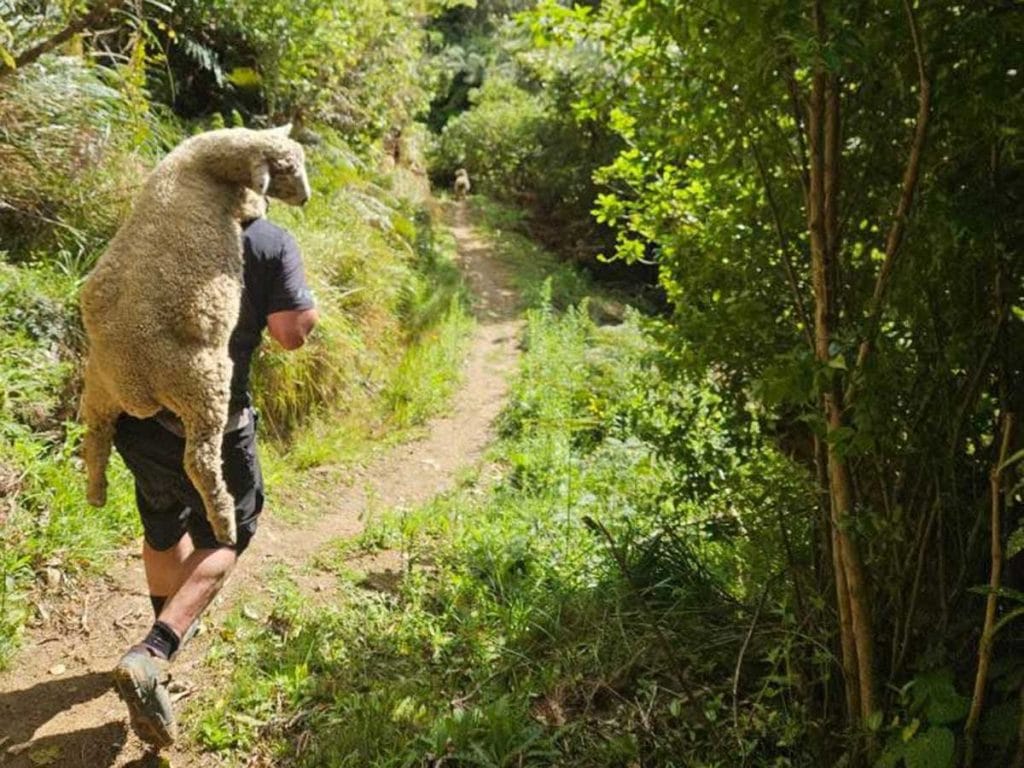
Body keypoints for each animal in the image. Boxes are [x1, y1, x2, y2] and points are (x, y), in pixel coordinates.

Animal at [79, 125, 310, 546]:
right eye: (286, 172)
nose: (306, 198)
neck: (201, 160)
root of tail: (134, 384)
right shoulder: (241, 199)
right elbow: (254, 205)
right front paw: (264, 205)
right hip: (202, 386)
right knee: (199, 461)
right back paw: (225, 522)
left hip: (98, 386)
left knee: (96, 434)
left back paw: (95, 491)